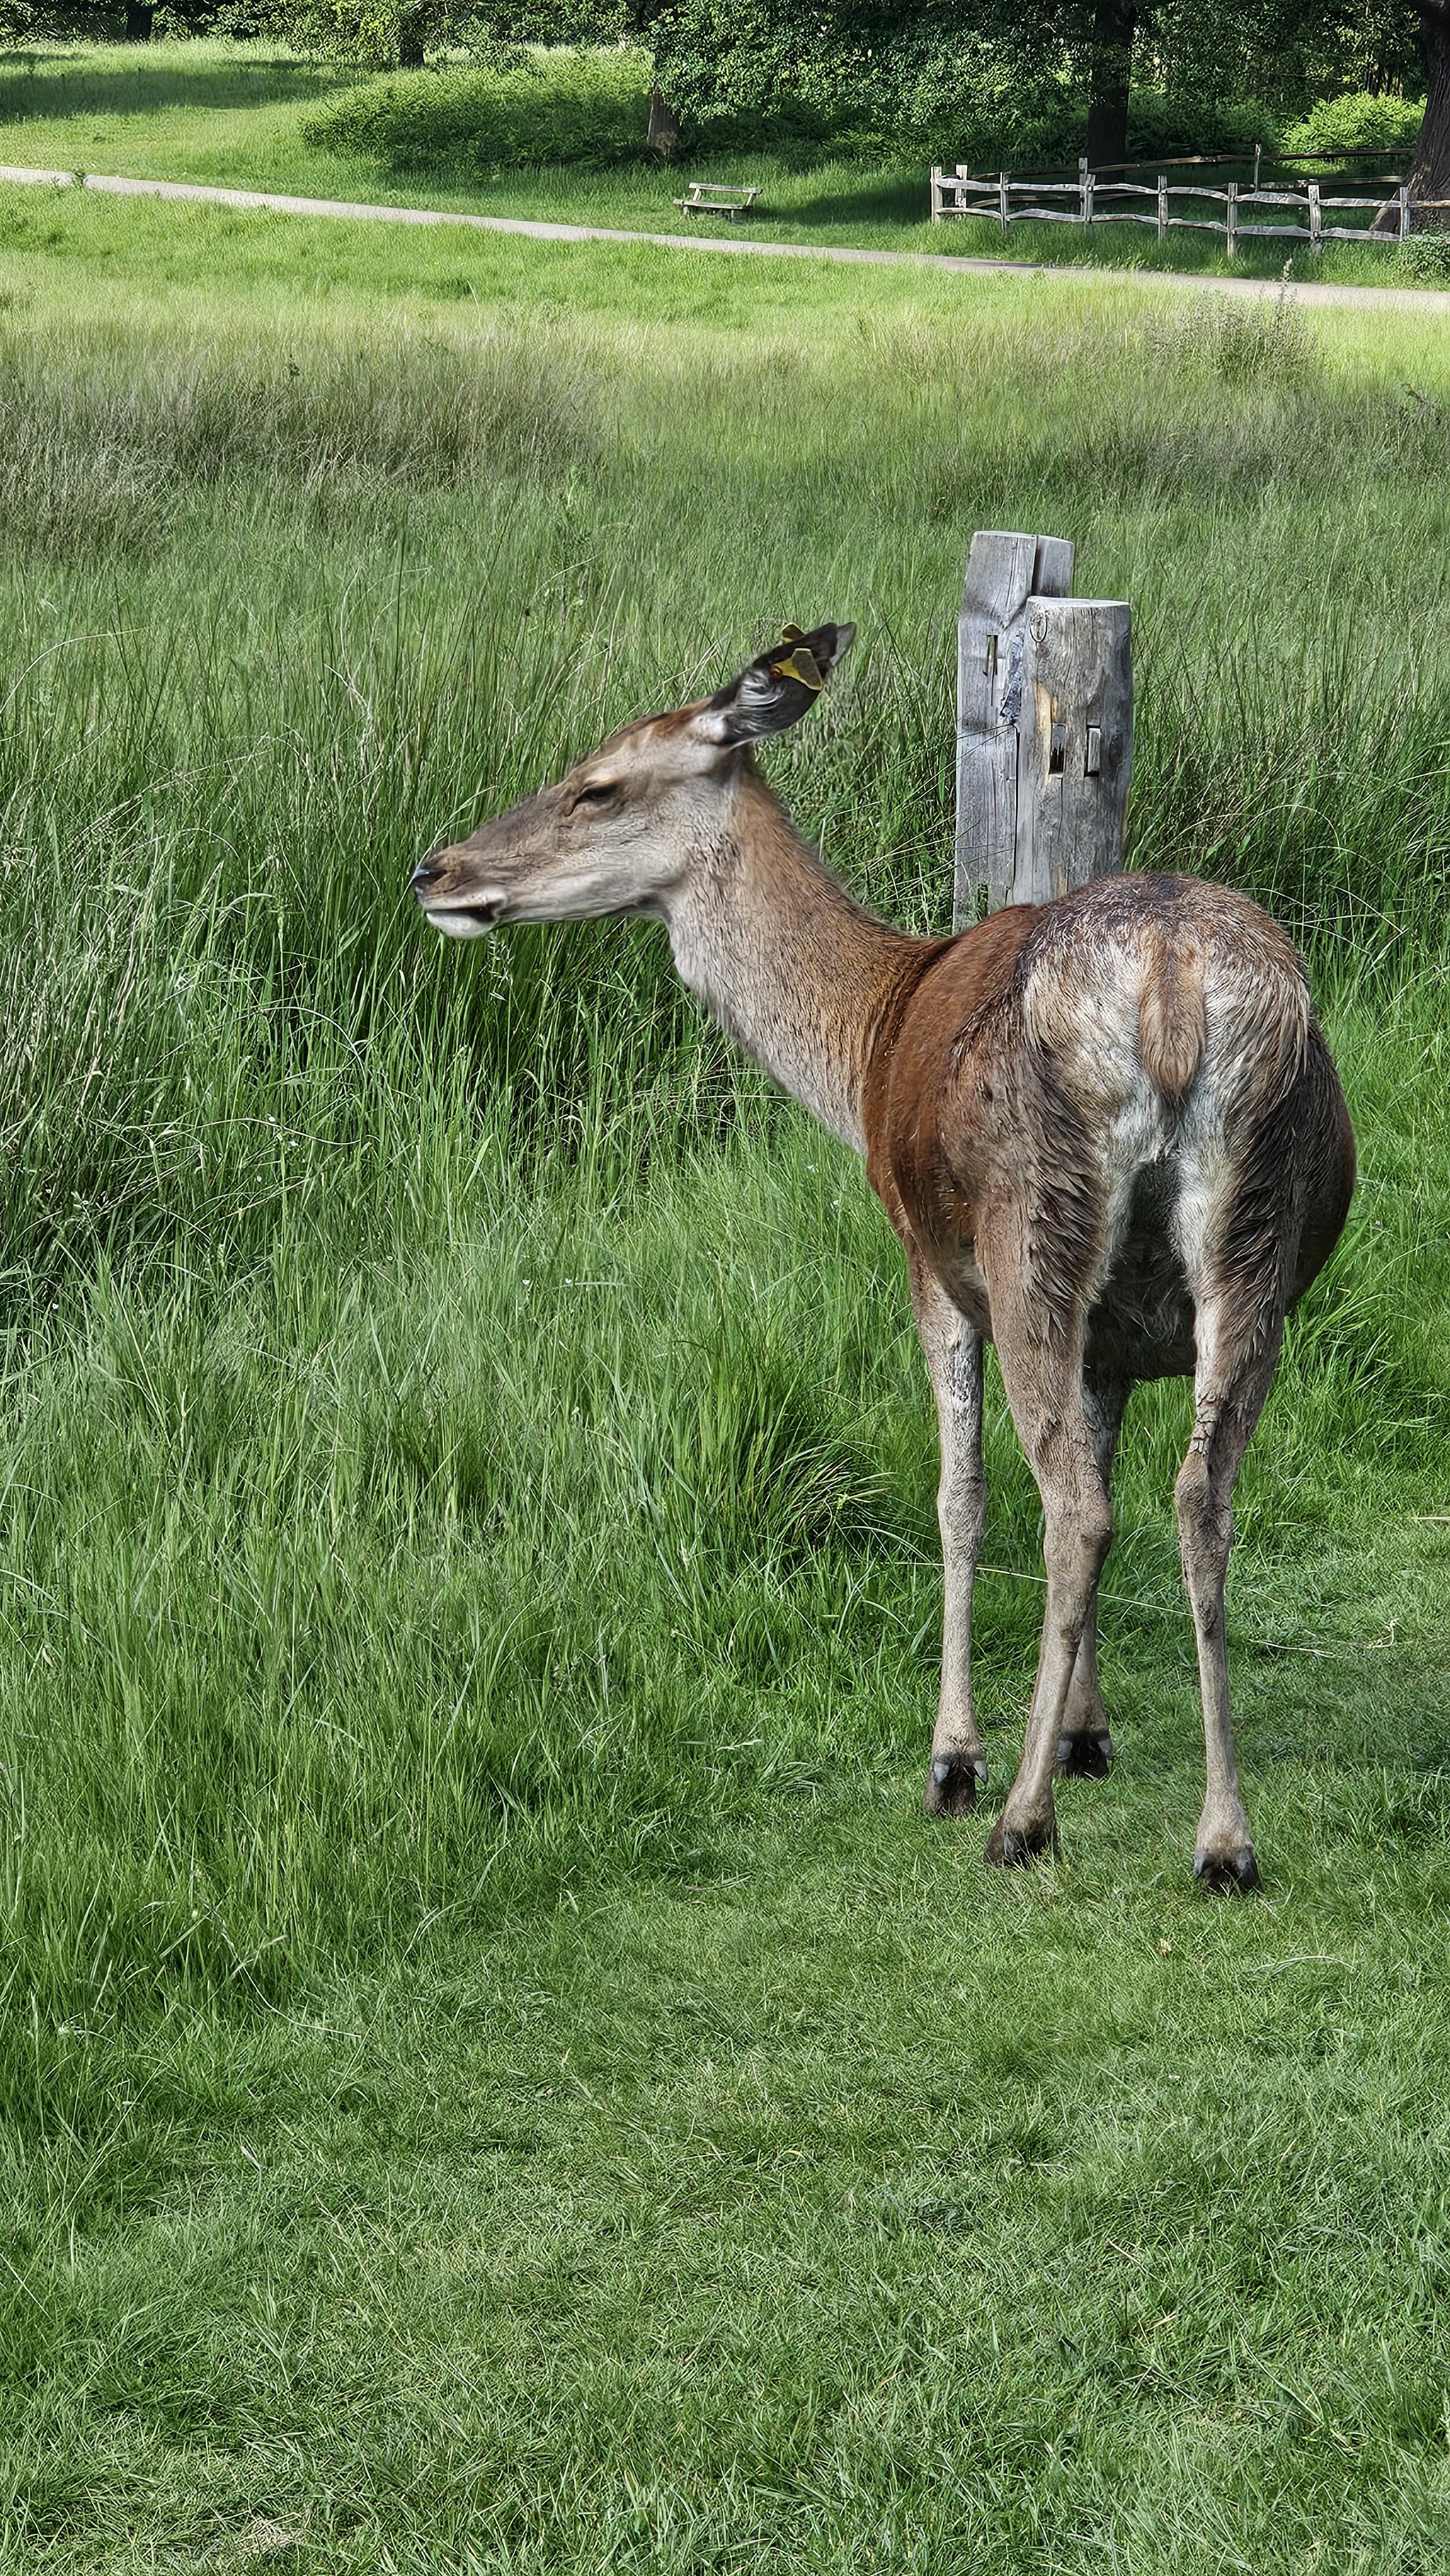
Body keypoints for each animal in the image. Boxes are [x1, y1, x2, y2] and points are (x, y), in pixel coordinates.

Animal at [412, 618, 1359, 1875]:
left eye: (596, 782)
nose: (437, 871)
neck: (867, 1042)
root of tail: (1171, 981)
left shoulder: (923, 1258)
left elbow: (959, 1497)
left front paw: (958, 1756)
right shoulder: (1118, 1331)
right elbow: (1108, 1464)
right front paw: (1088, 1734)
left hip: (1029, 1227)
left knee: (1072, 1505)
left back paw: (1018, 1818)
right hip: (1257, 1234)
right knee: (1196, 1496)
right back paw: (1223, 1838)